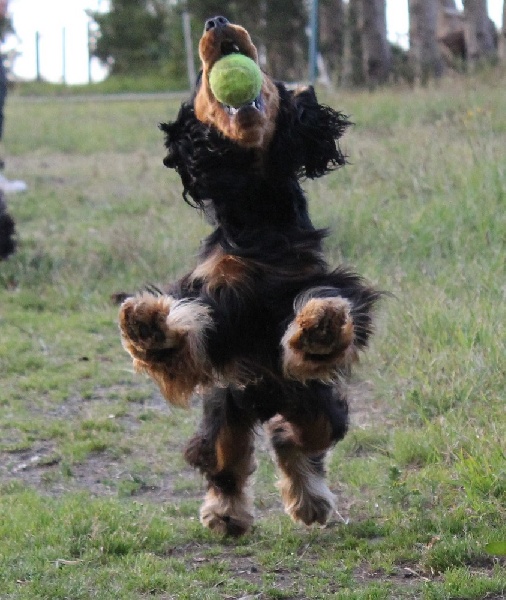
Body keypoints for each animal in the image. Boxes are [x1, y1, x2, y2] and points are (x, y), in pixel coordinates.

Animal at [119, 16, 380, 536]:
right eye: (201, 83)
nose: (217, 21)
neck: (257, 206)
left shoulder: (307, 277)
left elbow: (326, 299)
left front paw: (319, 328)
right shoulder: (219, 301)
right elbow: (189, 328)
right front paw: (149, 329)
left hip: (314, 404)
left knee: (296, 437)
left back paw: (309, 499)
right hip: (227, 410)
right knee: (224, 460)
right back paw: (225, 513)